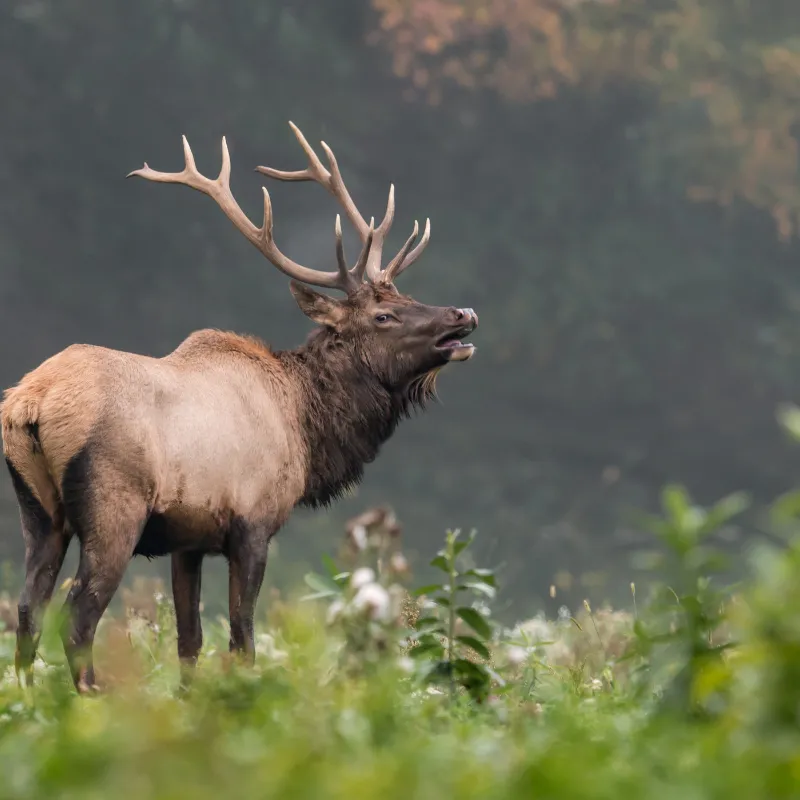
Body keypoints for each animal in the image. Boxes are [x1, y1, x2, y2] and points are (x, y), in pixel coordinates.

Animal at [1, 122, 476, 692]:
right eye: (383, 315)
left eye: (406, 295)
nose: (463, 313)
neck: (306, 427)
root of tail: (30, 402)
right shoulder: (253, 522)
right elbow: (242, 638)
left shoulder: (187, 539)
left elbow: (189, 642)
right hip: (113, 506)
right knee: (76, 617)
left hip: (39, 511)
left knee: (27, 611)